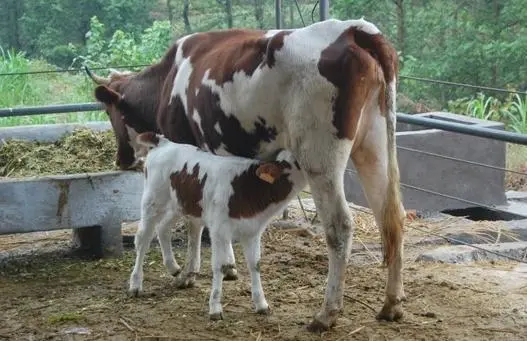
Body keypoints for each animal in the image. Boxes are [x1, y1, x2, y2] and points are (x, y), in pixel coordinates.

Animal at [129, 131, 308, 318]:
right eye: (299, 161)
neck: (247, 188)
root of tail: (163, 142)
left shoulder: (252, 231)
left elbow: (255, 265)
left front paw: (261, 304)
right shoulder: (219, 231)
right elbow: (219, 266)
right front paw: (215, 307)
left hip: (178, 204)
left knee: (163, 228)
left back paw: (173, 267)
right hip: (152, 201)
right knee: (142, 239)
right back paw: (135, 284)